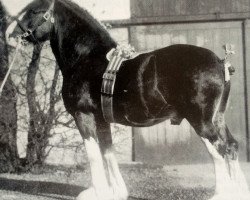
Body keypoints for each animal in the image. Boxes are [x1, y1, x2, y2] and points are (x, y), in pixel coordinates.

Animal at [5, 0, 250, 200]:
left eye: (34, 10)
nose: (8, 34)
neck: (87, 59)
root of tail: (220, 62)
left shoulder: (83, 117)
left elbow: (93, 156)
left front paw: (98, 192)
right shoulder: (102, 121)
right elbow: (108, 153)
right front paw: (116, 192)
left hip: (200, 121)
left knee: (219, 151)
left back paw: (220, 194)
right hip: (217, 118)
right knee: (231, 146)